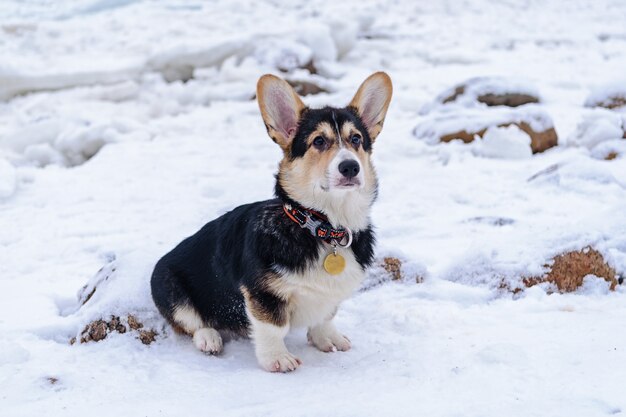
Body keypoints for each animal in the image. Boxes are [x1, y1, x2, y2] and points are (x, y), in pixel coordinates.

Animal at [150, 70, 390, 370]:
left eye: (356, 139)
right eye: (318, 141)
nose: (350, 167)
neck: (323, 226)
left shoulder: (330, 295)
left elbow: (326, 315)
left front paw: (328, 339)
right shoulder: (262, 293)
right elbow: (273, 327)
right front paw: (277, 359)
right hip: (169, 287)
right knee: (190, 322)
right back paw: (209, 338)